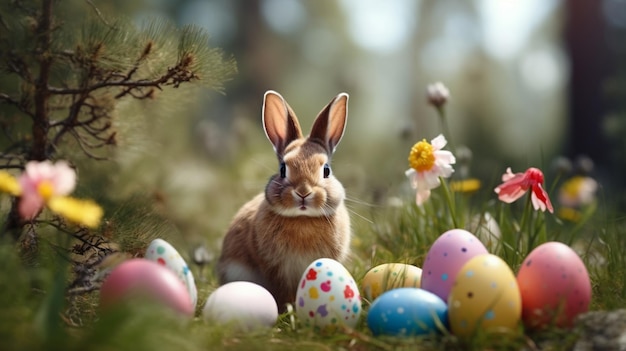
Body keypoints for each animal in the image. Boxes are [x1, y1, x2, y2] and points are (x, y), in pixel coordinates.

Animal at [217, 91, 348, 314]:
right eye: (282, 169)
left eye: (326, 170)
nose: (303, 192)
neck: (303, 219)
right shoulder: (274, 269)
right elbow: (282, 291)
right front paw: (287, 309)